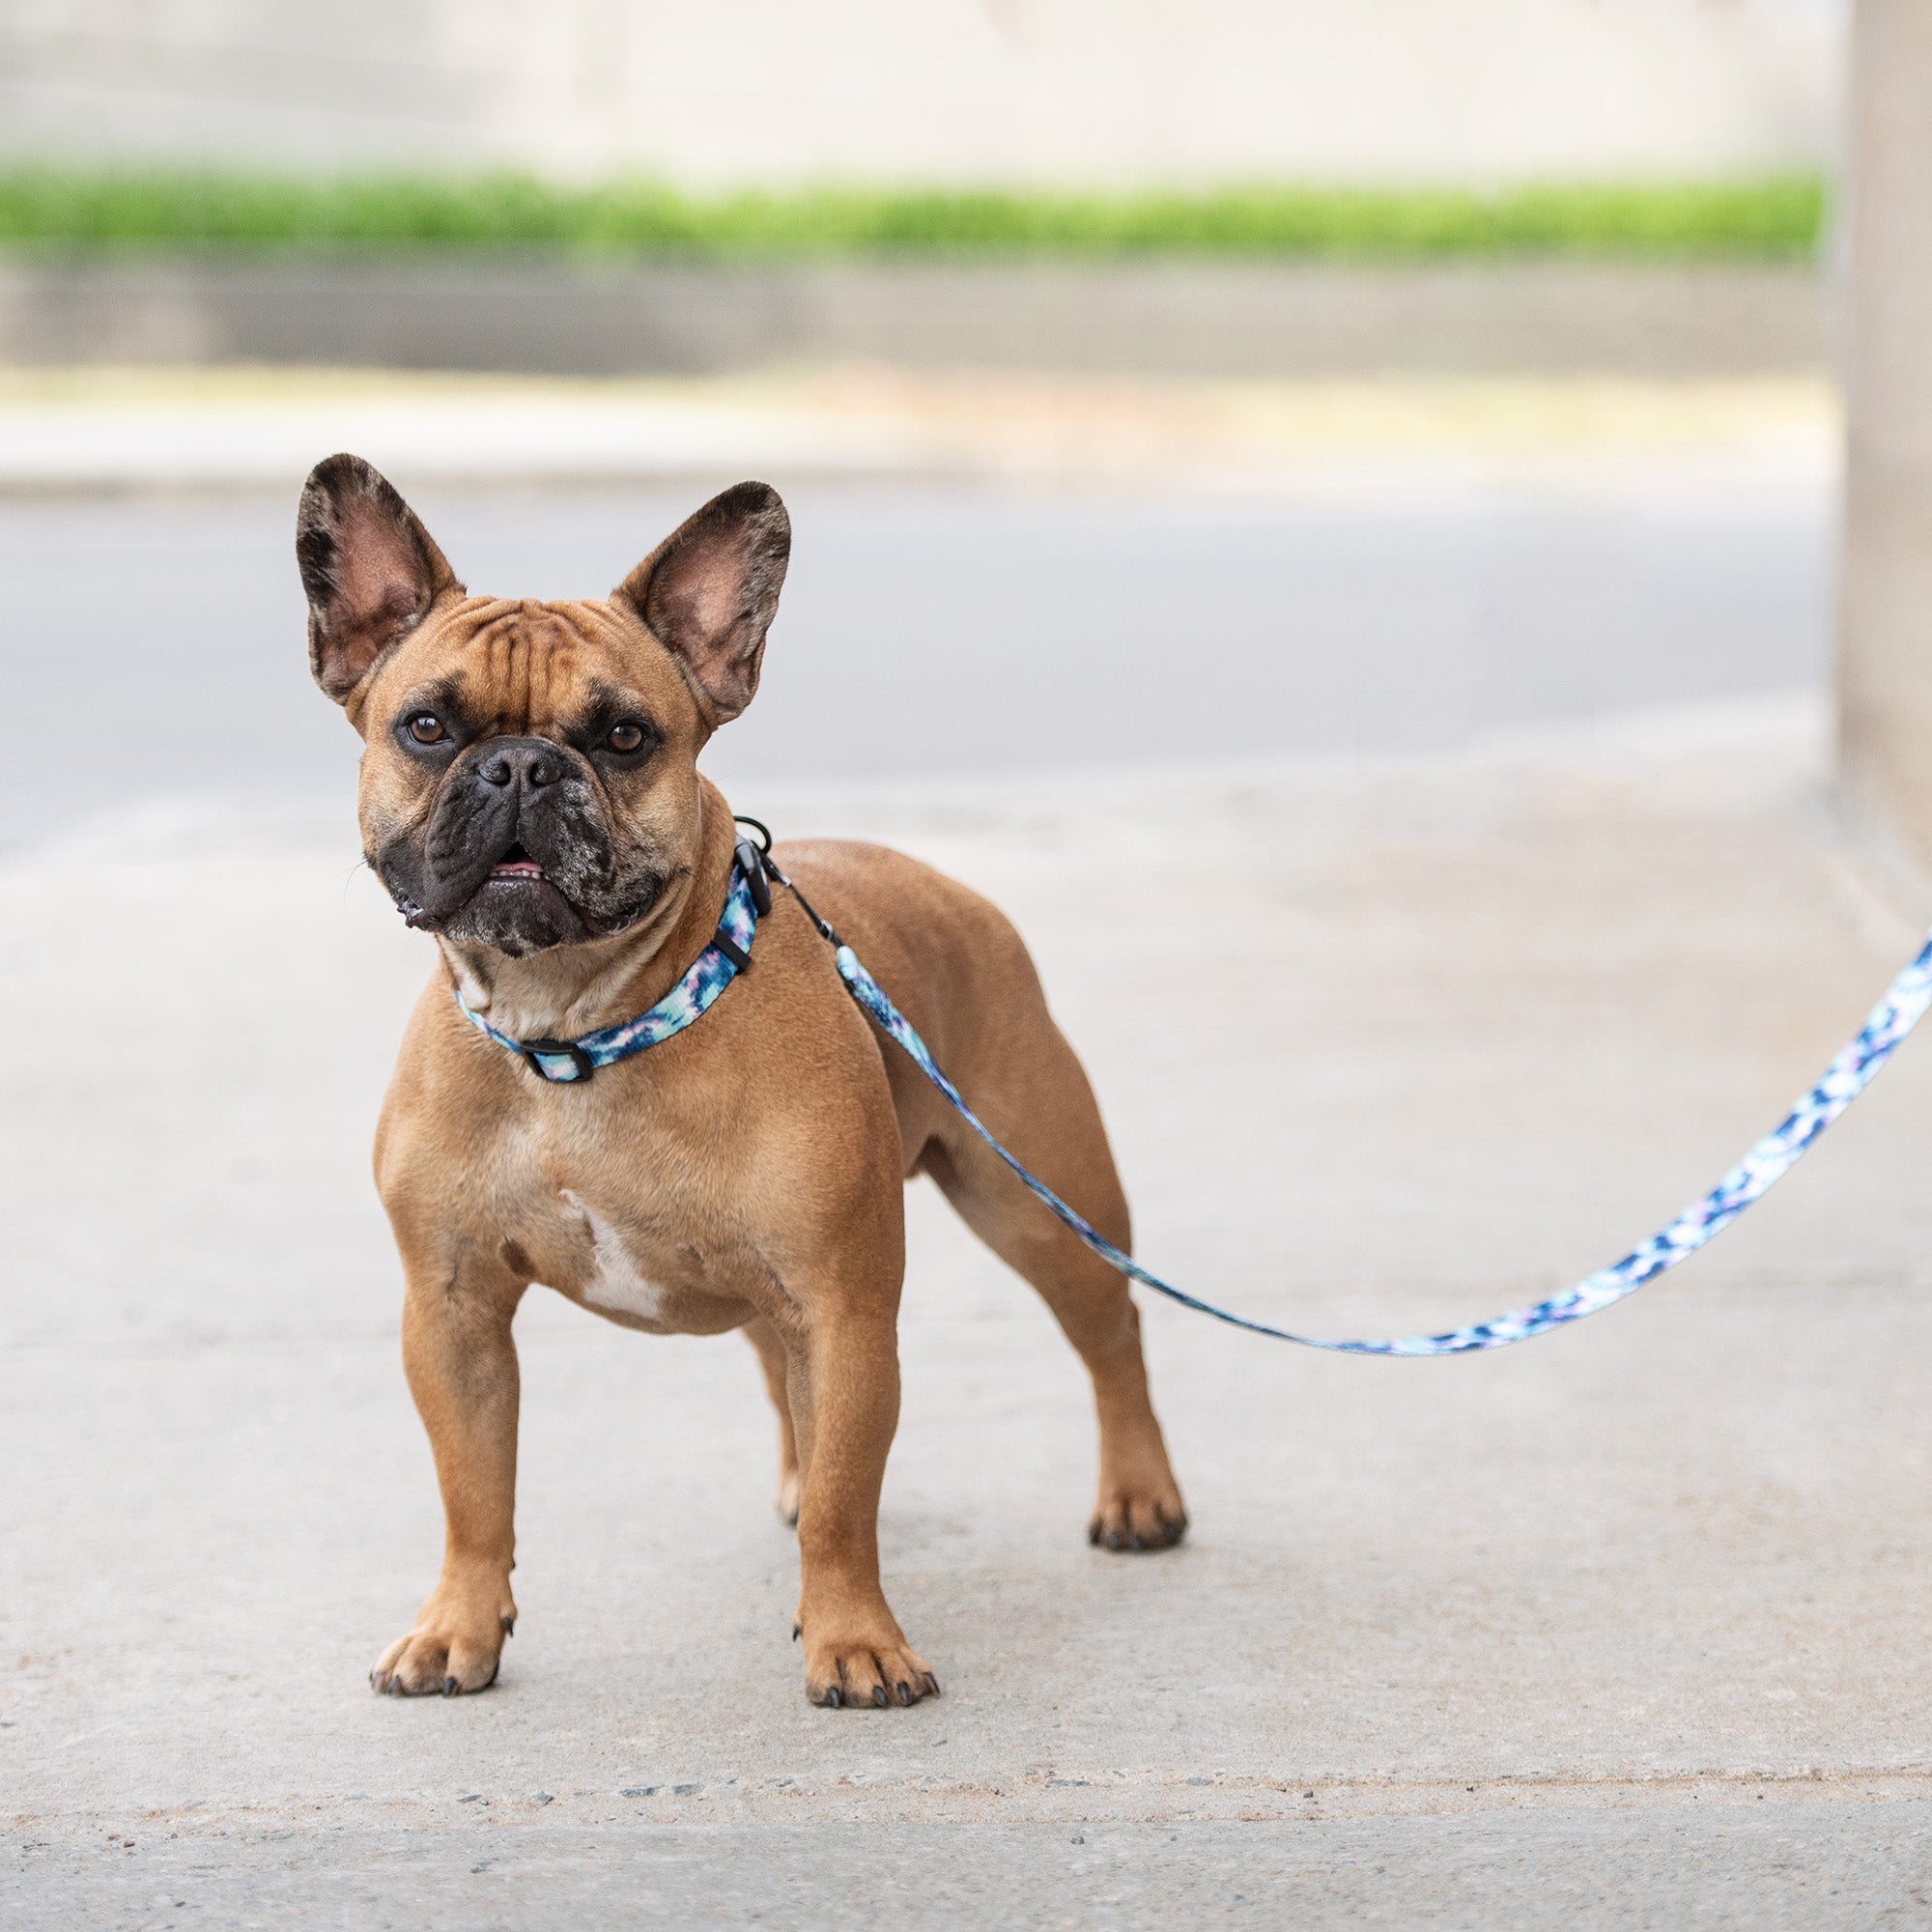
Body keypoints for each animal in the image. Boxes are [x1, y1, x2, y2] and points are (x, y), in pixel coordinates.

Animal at [301, 452, 1182, 1708]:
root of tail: (947, 887)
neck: (577, 1027)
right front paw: (455, 1626)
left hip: (1035, 1200)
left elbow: (849, 1504)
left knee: (1110, 1331)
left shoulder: (843, 1306)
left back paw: (1139, 1494)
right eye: (425, 726)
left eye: (624, 735)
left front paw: (853, 1637)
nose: (521, 764)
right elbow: (473, 1488)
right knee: (782, 1382)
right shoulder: (451, 1308)